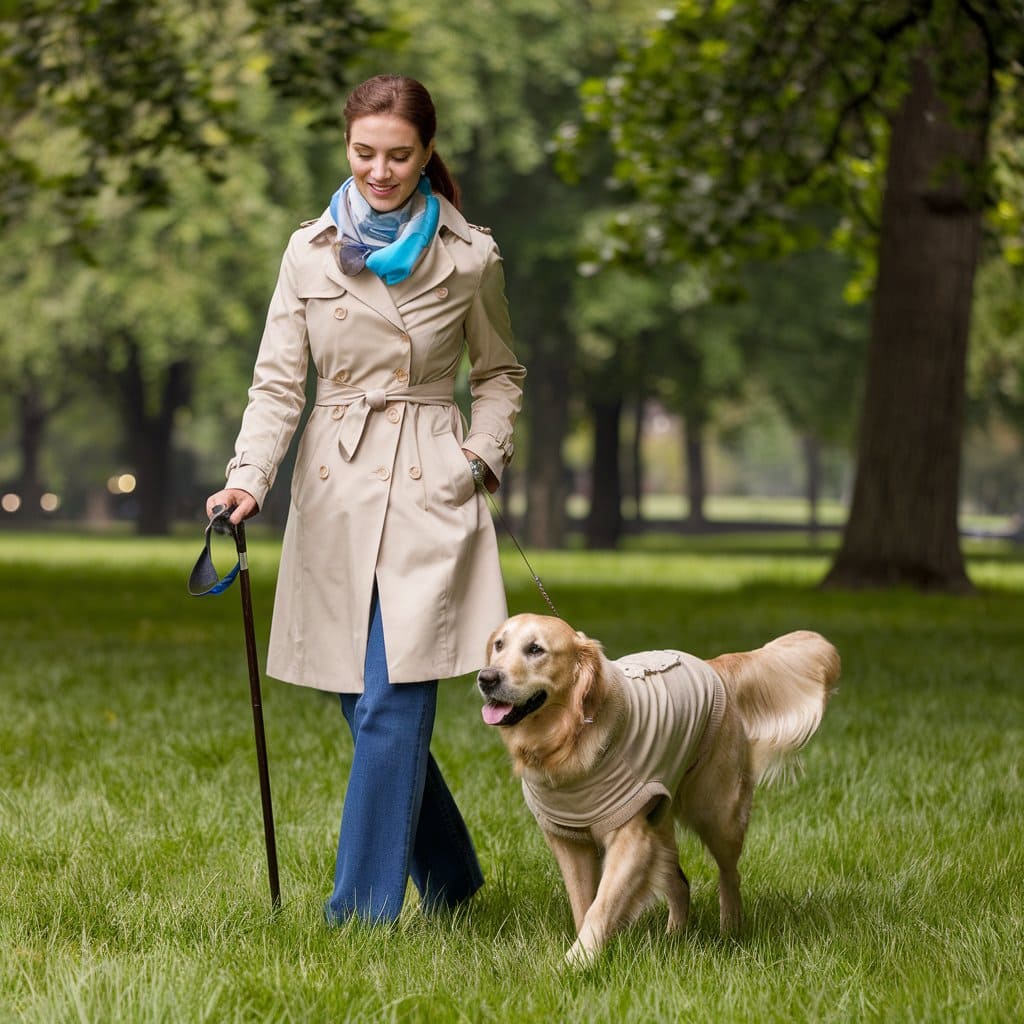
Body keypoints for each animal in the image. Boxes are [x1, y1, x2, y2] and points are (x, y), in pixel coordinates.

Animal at [475, 614, 835, 966]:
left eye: (536, 649)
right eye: (499, 645)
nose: (486, 678)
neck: (565, 742)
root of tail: (711, 665)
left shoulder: (630, 836)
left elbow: (601, 906)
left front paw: (575, 964)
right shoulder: (567, 841)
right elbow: (583, 905)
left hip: (717, 813)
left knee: (729, 873)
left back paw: (731, 931)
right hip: (661, 816)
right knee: (680, 882)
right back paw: (673, 938)